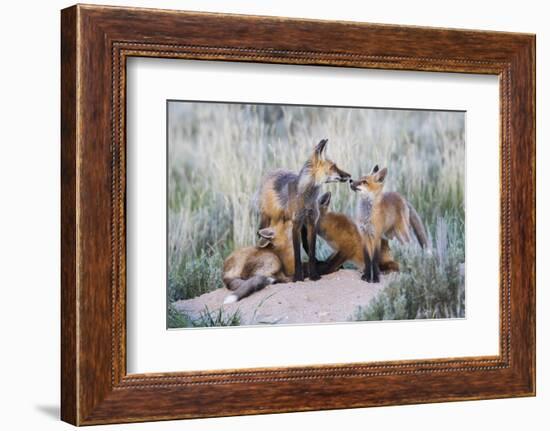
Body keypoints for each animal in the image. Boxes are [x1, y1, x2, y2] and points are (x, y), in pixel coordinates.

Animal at [260, 139, 354, 284]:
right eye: (333, 167)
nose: (350, 176)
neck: (307, 199)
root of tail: (274, 171)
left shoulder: (311, 222)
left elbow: (311, 250)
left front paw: (314, 274)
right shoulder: (296, 224)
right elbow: (297, 255)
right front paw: (298, 277)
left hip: (304, 227)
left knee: (306, 245)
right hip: (269, 219)